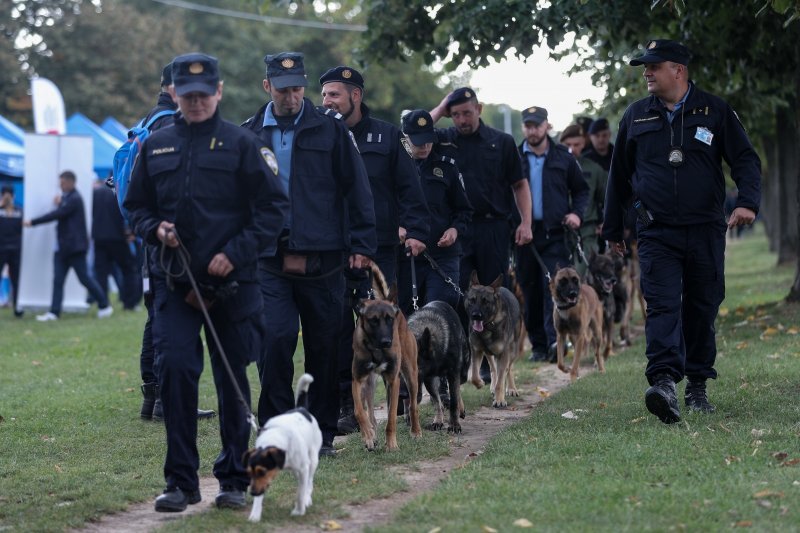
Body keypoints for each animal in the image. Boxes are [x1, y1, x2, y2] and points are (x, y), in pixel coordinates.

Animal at [244, 372, 322, 516]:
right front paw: (255, 515)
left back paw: (307, 498)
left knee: (309, 481)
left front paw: (299, 510)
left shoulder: (303, 468)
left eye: (262, 471)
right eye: (249, 473)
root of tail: (301, 408)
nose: (252, 493)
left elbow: (300, 492)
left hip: (312, 459)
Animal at [406, 300, 468, 432]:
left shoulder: (453, 373)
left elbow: (454, 401)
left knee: (457, 390)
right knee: (438, 402)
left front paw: (454, 425)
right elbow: (436, 401)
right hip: (430, 382)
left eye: (418, 370)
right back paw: (438, 421)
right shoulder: (427, 378)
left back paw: (460, 409)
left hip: (463, 373)